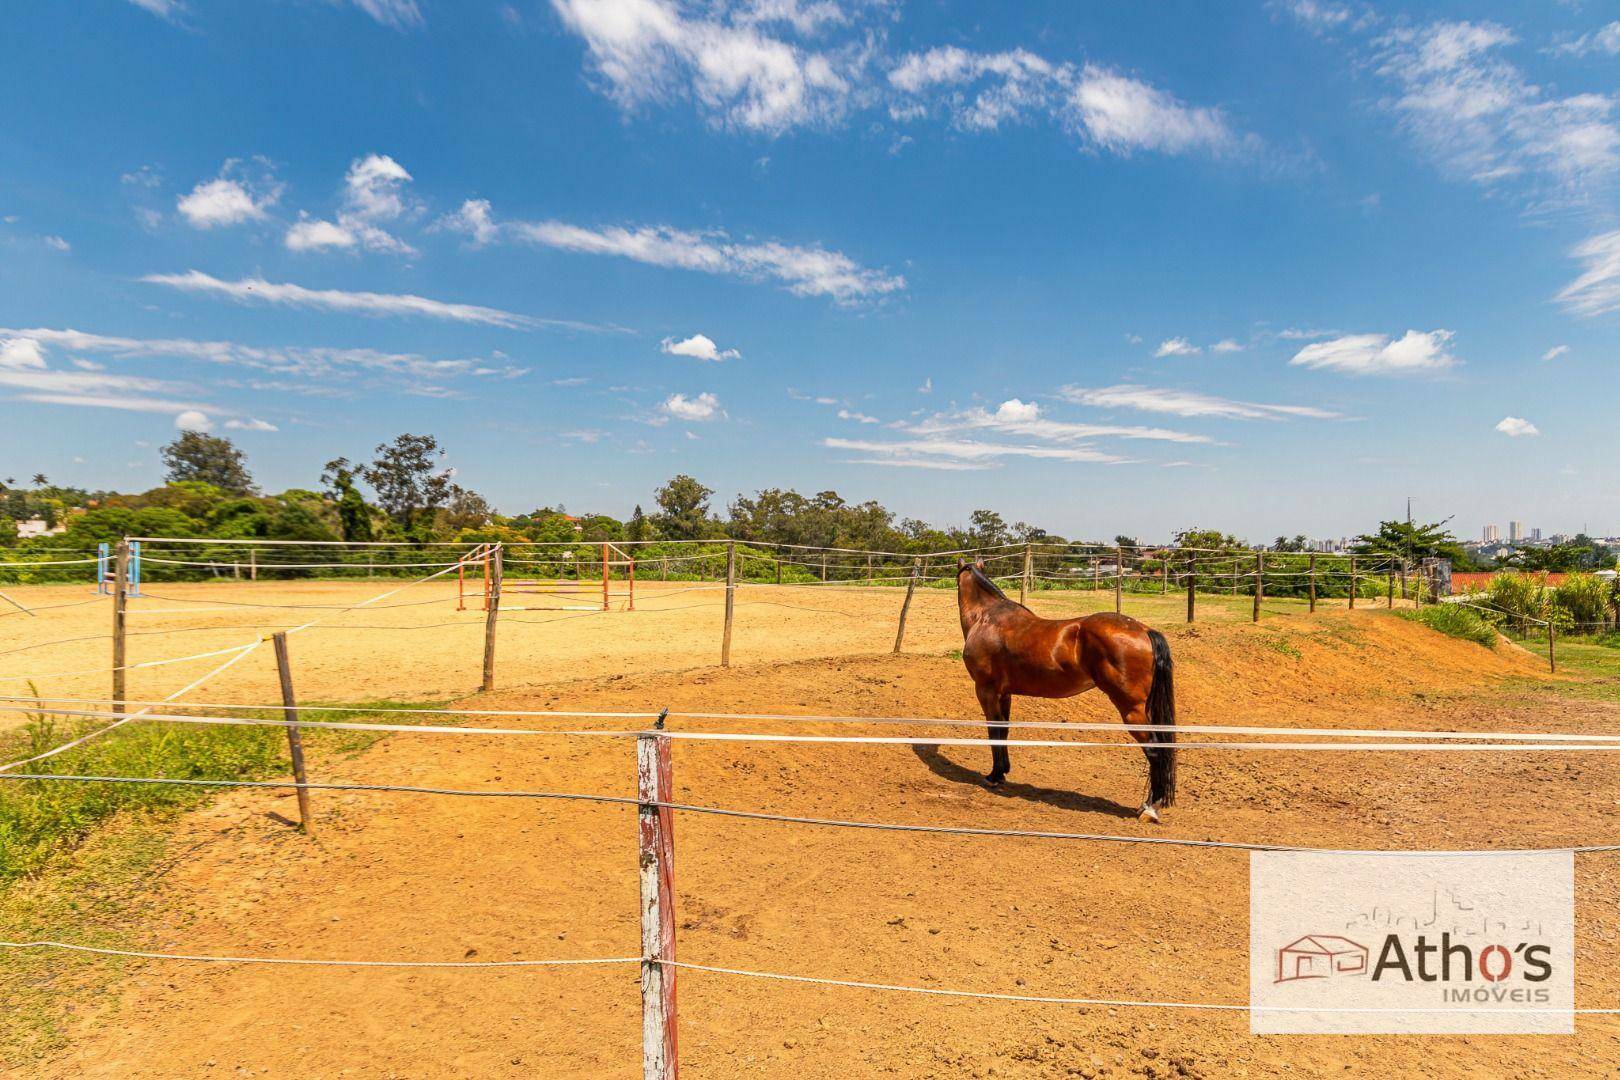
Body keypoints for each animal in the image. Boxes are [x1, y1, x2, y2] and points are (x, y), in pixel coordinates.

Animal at [959, 563, 1179, 822]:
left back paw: (1149, 808)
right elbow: (1003, 730)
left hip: (1132, 711)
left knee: (1155, 750)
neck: (987, 618)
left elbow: (993, 731)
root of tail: (1145, 631)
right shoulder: (1004, 694)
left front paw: (993, 777)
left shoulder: (986, 690)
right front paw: (1002, 773)